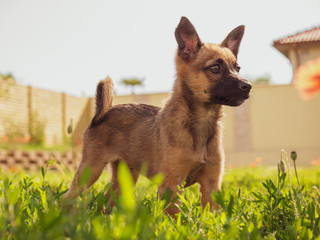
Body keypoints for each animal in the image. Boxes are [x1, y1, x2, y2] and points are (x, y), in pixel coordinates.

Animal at [64, 16, 250, 216]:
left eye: (237, 68)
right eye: (215, 68)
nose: (247, 86)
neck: (201, 122)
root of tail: (104, 112)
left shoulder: (211, 185)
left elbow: (211, 215)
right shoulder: (171, 184)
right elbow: (174, 217)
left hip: (125, 178)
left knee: (107, 199)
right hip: (90, 169)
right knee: (67, 197)